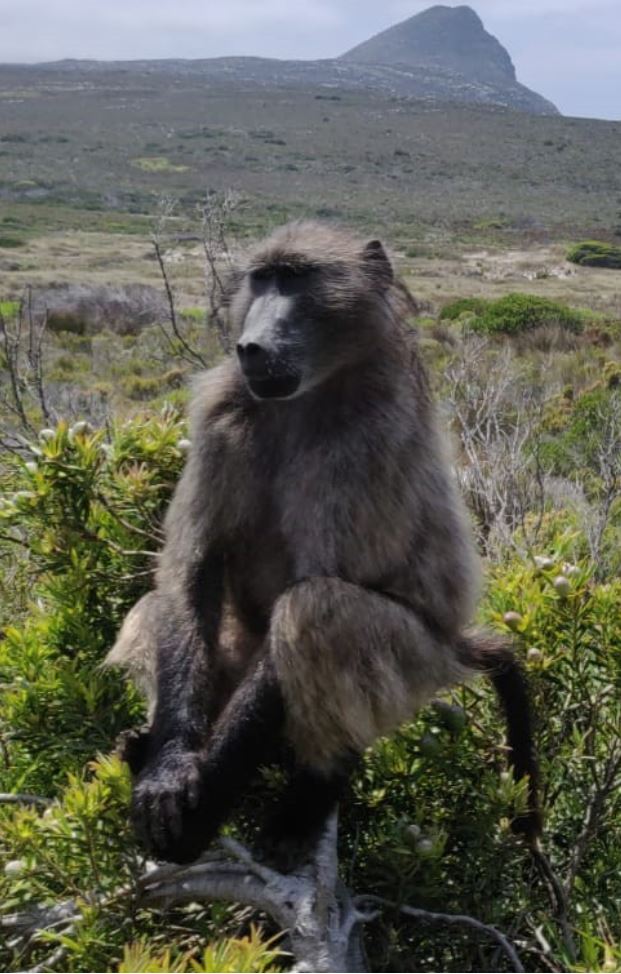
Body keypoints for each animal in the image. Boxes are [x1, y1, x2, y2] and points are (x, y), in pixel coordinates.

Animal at [106, 220, 541, 867]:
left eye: (296, 279)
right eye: (263, 279)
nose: (252, 347)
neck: (311, 393)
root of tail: (454, 643)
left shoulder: (365, 440)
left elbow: (315, 587)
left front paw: (201, 810)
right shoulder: (222, 408)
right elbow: (193, 565)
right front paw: (167, 771)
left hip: (418, 662)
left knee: (318, 612)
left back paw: (312, 795)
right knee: (159, 607)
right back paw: (144, 745)